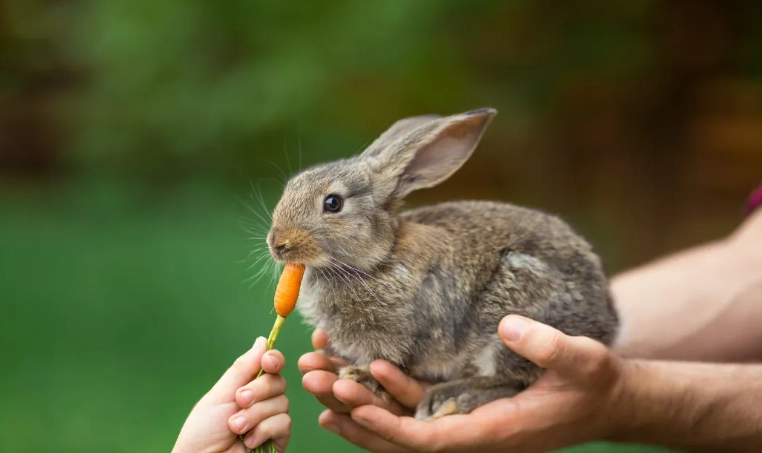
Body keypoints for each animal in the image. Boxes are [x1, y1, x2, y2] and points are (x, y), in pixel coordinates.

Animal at [265, 108, 619, 420]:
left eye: (333, 203)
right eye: (291, 187)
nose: (277, 244)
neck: (380, 257)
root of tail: (607, 326)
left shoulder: (394, 336)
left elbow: (386, 360)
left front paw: (360, 376)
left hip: (511, 317)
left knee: (510, 379)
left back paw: (451, 398)